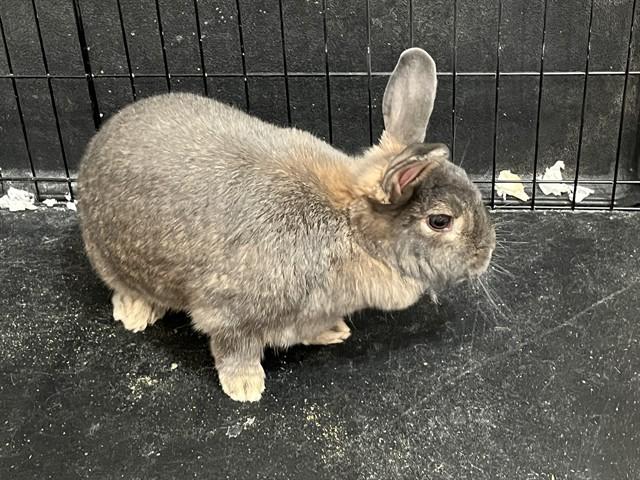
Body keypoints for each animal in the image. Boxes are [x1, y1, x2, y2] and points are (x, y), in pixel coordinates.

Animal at [77, 48, 495, 402]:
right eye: (440, 220)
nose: (486, 254)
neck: (347, 227)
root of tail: (94, 148)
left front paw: (334, 331)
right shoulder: (229, 313)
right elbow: (233, 349)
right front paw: (245, 388)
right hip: (111, 260)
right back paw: (134, 314)